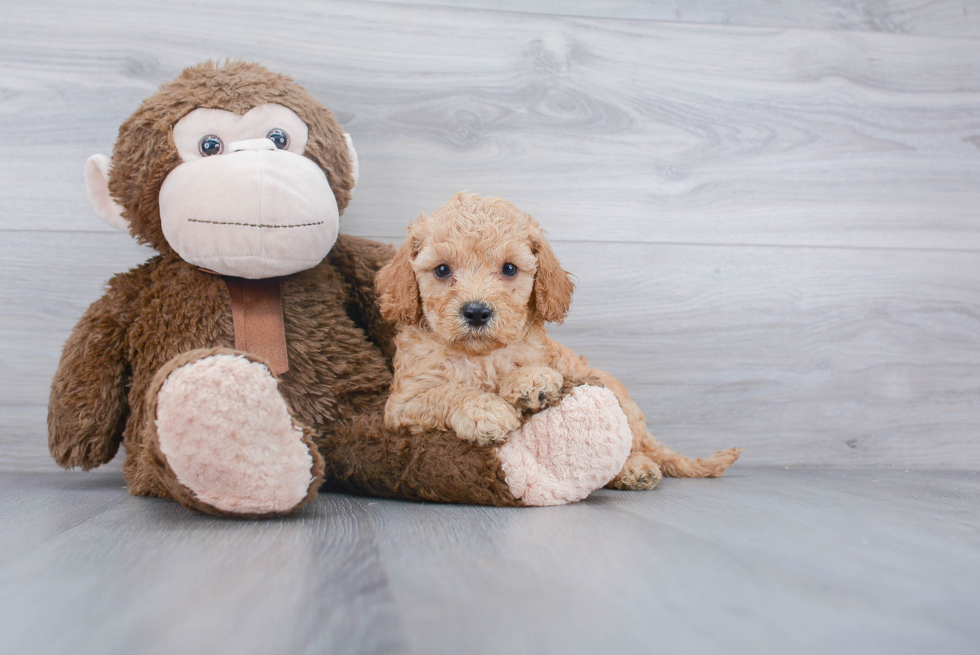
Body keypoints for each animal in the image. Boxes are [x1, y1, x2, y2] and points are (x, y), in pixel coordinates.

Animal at [378, 192, 744, 490]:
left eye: (509, 269)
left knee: (632, 445)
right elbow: (445, 393)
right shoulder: (402, 404)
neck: (480, 355)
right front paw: (487, 410)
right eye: (442, 270)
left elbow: (527, 368)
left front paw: (530, 382)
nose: (477, 312)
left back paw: (635, 468)